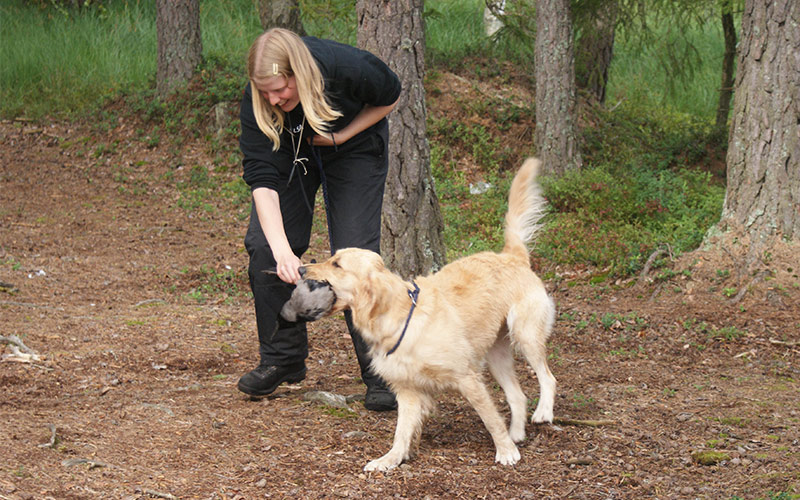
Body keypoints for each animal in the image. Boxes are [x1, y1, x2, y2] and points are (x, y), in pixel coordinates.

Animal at [282, 157, 556, 472]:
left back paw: (541, 414)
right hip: (496, 354)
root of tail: (511, 255)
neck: (400, 318)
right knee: (518, 395)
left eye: (337, 264)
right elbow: (401, 431)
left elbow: (489, 417)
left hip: (525, 334)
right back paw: (517, 433)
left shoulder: (467, 377)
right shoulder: (408, 389)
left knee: (547, 378)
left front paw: (505, 451)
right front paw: (390, 459)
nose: (300, 268)